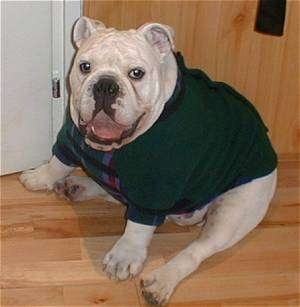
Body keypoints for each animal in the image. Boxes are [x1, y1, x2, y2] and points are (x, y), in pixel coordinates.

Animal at [20, 17, 276, 306]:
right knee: (116, 194)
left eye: (136, 73)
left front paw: (125, 255)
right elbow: (59, 162)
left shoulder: (156, 182)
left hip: (234, 210)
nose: (105, 84)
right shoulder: (71, 135)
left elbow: (139, 226)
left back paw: (162, 281)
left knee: (198, 249)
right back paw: (78, 186)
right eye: (85, 67)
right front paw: (40, 177)